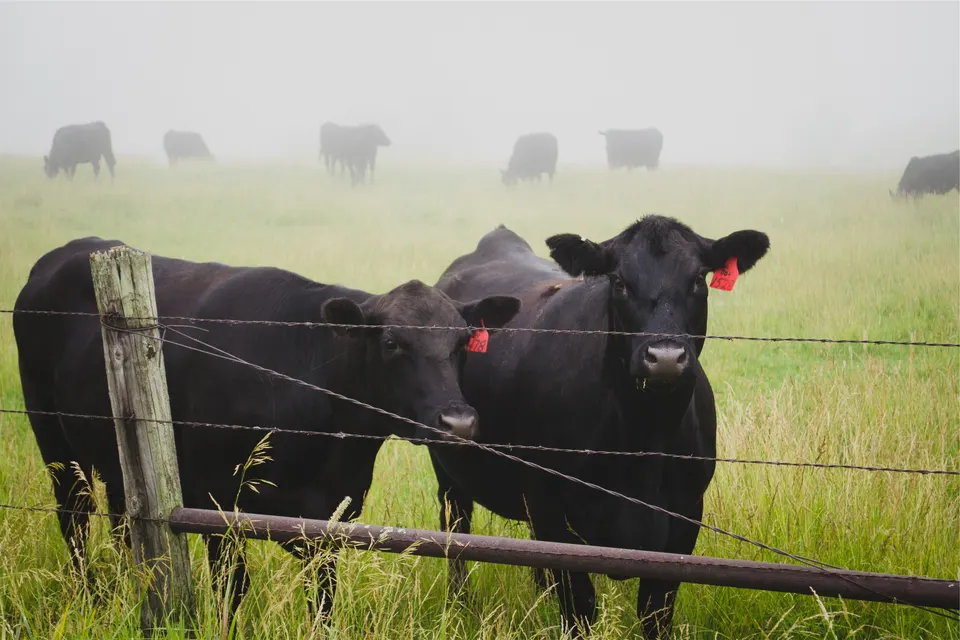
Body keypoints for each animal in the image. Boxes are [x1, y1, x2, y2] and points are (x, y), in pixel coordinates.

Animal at [14, 237, 521, 621]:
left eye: (462, 343)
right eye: (393, 342)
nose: (457, 421)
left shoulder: (331, 518)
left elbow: (322, 599)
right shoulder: (216, 506)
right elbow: (233, 590)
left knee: (123, 522)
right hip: (54, 441)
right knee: (75, 518)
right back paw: (91, 599)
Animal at [432, 217, 769, 638]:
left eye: (697, 279)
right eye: (620, 281)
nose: (665, 357)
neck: (643, 441)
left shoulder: (686, 515)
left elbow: (656, 610)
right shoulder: (551, 509)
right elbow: (579, 605)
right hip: (449, 470)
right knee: (456, 534)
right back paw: (458, 605)